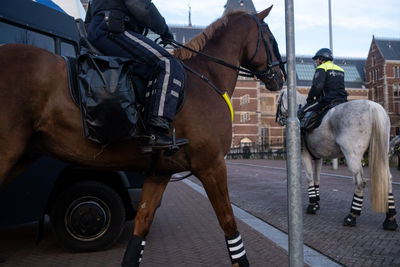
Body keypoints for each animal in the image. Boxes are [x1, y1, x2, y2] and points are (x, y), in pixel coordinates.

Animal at [0, 6, 284, 267]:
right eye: (271, 37)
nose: (281, 77)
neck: (206, 77)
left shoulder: (159, 172)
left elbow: (141, 227)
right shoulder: (211, 164)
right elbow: (229, 224)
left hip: (24, 154)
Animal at [278, 89, 396, 230]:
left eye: (278, 100)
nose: (278, 119)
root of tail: (373, 106)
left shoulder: (304, 155)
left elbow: (310, 178)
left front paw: (312, 206)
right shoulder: (318, 158)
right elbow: (317, 178)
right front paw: (316, 203)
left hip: (352, 155)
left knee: (360, 182)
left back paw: (351, 216)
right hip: (381, 153)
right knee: (387, 179)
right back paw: (390, 219)